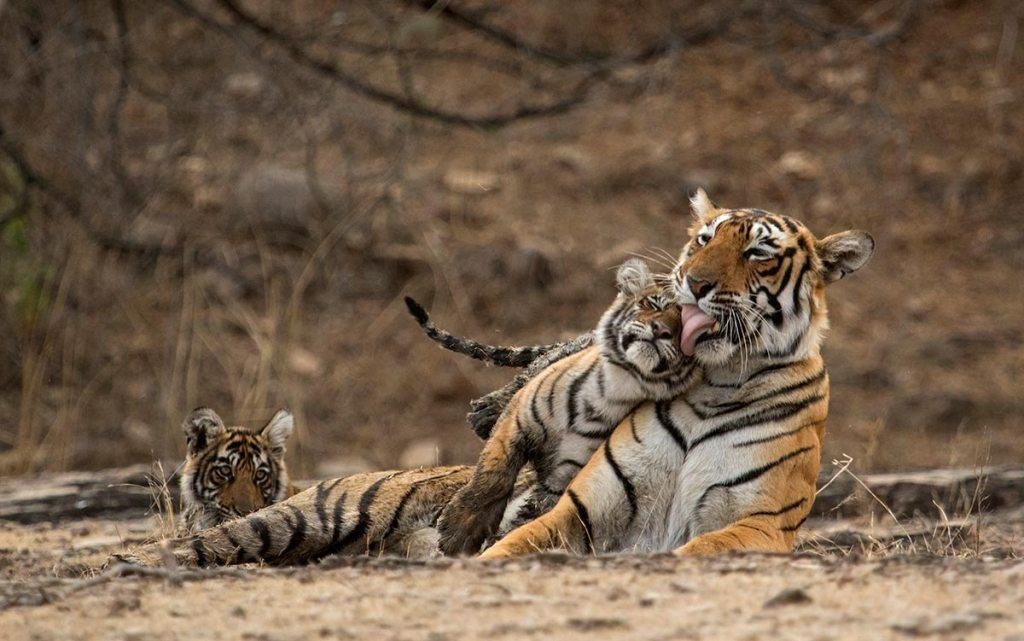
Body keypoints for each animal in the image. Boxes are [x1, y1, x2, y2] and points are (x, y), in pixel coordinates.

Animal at [419, 259, 699, 555]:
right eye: (652, 304)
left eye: (683, 330)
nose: (660, 329)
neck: (616, 387)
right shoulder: (518, 420)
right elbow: (494, 476)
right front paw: (458, 531)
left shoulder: (560, 478)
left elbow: (530, 516)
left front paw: (495, 541)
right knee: (530, 371)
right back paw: (483, 413)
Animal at [479, 190, 874, 559]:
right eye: (705, 239)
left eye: (758, 252)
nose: (695, 283)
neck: (718, 382)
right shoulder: (581, 508)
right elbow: (513, 543)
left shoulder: (763, 522)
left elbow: (703, 546)